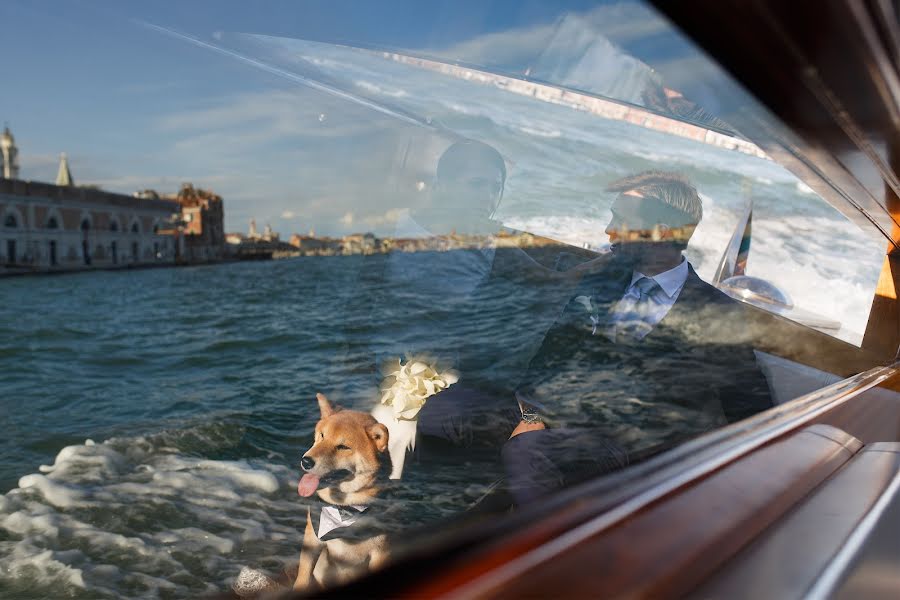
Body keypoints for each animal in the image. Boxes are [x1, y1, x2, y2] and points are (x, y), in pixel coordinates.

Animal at [294, 394, 392, 592]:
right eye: (322, 435)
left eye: (343, 447)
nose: (306, 461)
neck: (344, 507)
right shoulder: (312, 539)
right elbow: (303, 576)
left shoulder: (381, 552)